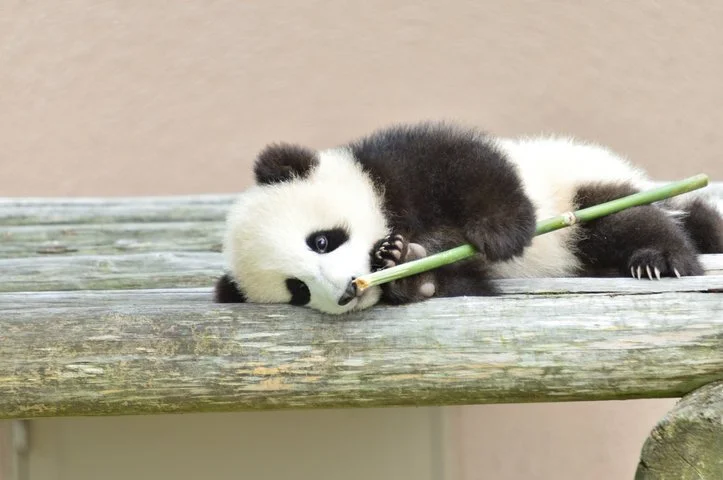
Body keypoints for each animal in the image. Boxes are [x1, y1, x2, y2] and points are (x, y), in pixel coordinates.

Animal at [214, 121, 723, 314]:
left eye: (321, 241)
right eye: (297, 290)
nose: (344, 293)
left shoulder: (392, 165)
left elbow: (468, 163)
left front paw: (500, 233)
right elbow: (462, 282)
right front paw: (407, 269)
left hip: (583, 190)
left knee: (627, 221)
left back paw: (660, 258)